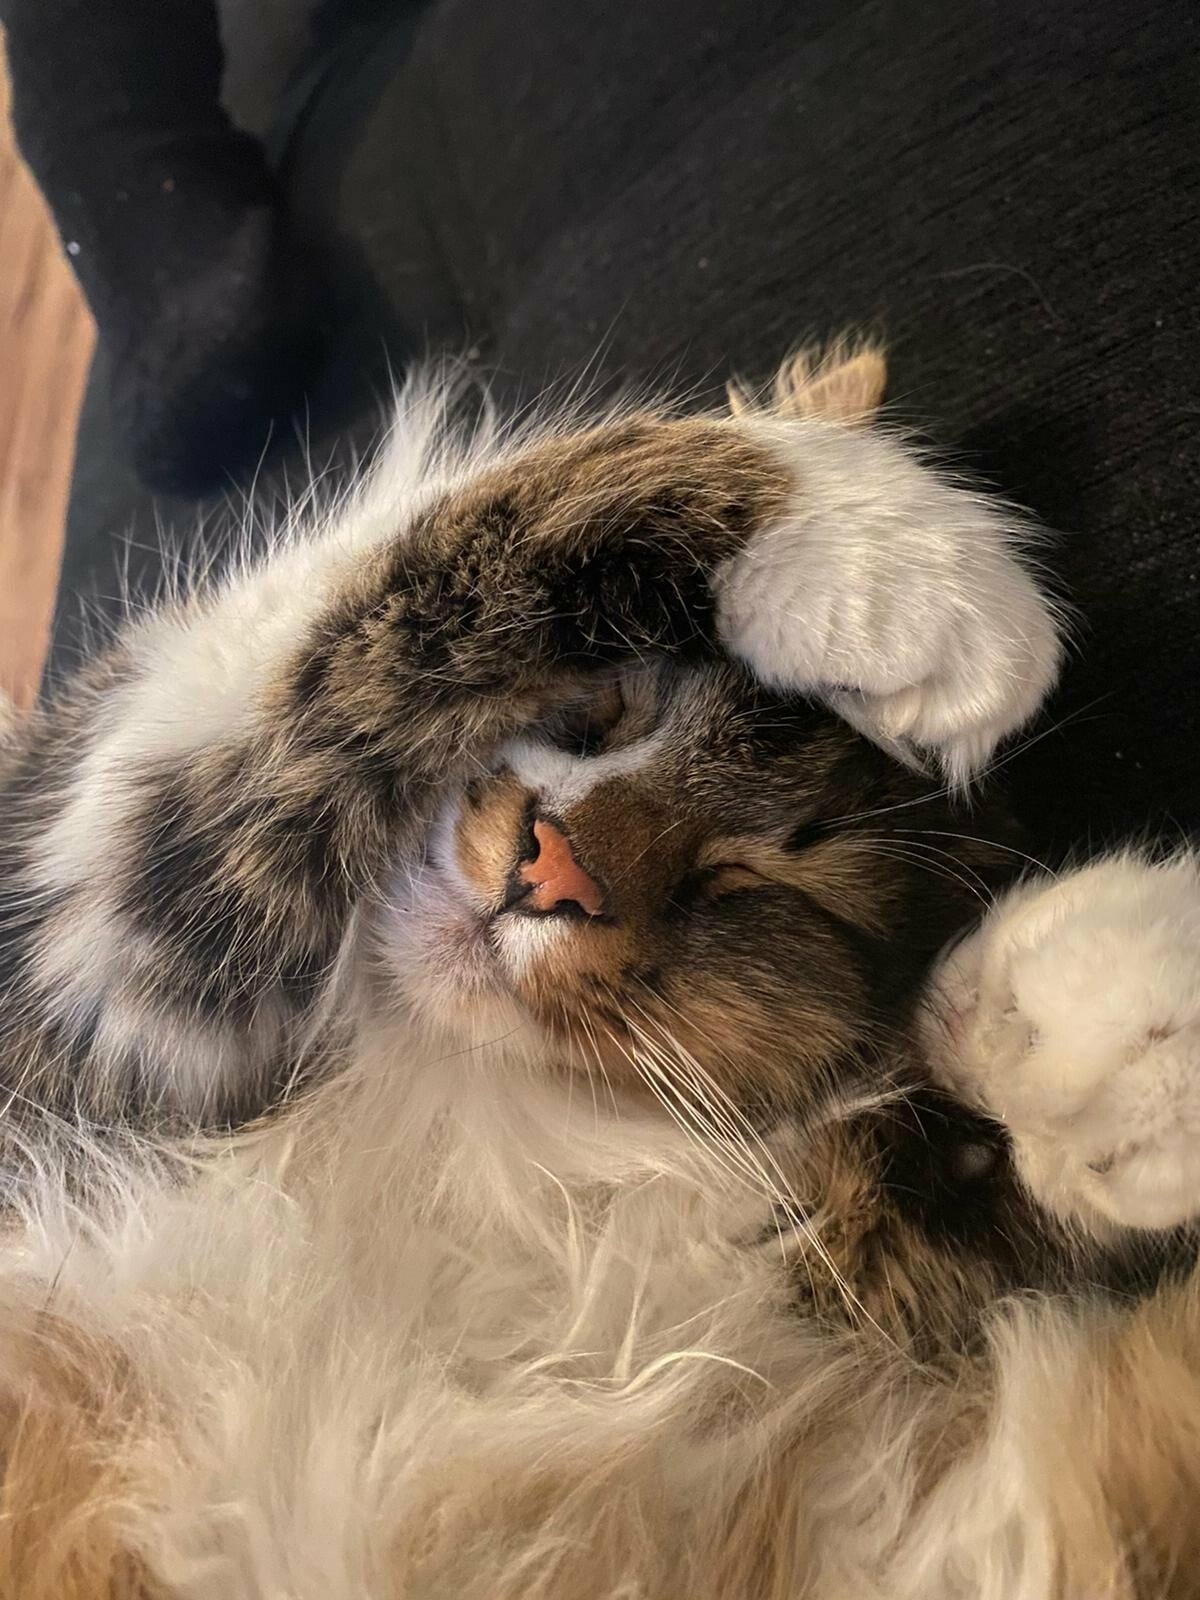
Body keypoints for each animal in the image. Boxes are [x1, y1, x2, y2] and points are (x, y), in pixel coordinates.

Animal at [0, 344, 1197, 1599]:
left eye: (743, 884)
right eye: (613, 706)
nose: (551, 871)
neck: (450, 1107)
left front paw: (1103, 1021)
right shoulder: (80, 976)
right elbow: (383, 578)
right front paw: (885, 554)